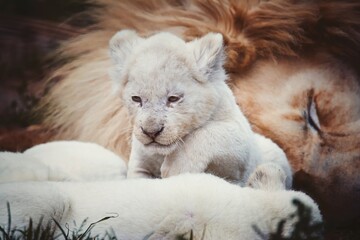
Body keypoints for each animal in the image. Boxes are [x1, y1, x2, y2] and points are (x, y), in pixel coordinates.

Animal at [40, 0, 358, 231]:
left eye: (173, 98)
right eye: (136, 99)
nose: (150, 131)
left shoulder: (237, 147)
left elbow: (208, 134)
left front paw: (176, 171)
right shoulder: (139, 159)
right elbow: (139, 179)